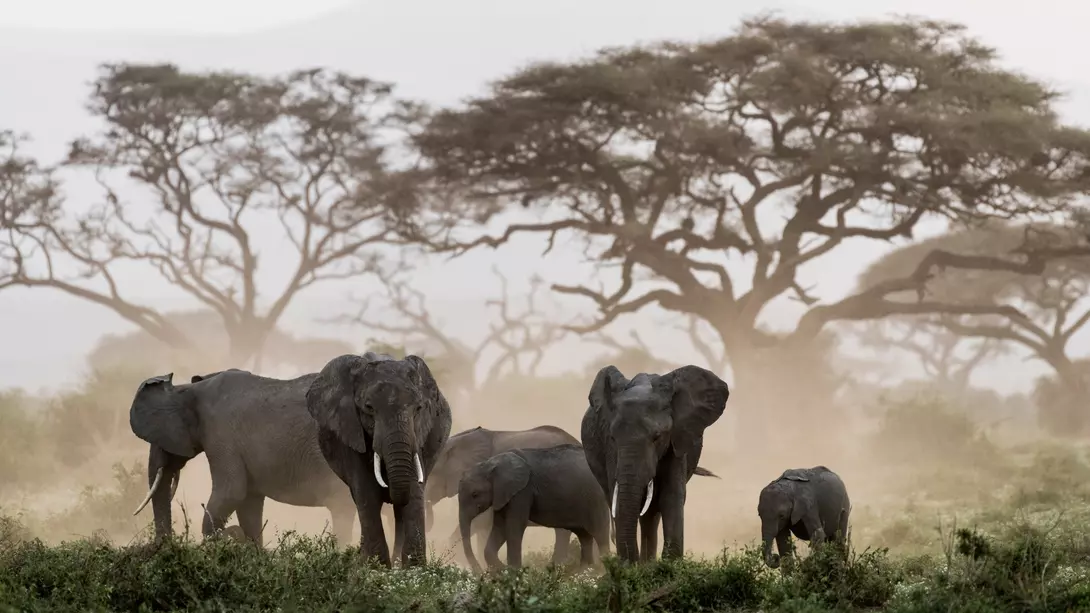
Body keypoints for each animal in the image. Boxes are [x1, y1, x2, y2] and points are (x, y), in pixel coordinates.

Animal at [306, 351, 453, 567]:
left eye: (418, 408)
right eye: (369, 408)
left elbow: (413, 493)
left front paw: (413, 570)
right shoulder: (350, 433)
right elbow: (366, 494)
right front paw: (376, 568)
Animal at [458, 444, 610, 572]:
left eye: (475, 494)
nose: (481, 573)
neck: (490, 464)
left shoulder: (522, 492)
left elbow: (514, 527)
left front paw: (514, 572)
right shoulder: (503, 495)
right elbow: (499, 527)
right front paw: (503, 571)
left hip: (596, 499)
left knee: (600, 534)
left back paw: (602, 571)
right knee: (584, 537)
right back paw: (584, 573)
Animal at [582, 364, 730, 563]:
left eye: (657, 437)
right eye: (612, 437)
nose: (631, 564)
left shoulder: (677, 440)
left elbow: (671, 496)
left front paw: (669, 565)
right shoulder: (611, 451)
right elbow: (618, 496)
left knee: (651, 513)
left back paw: (648, 564)